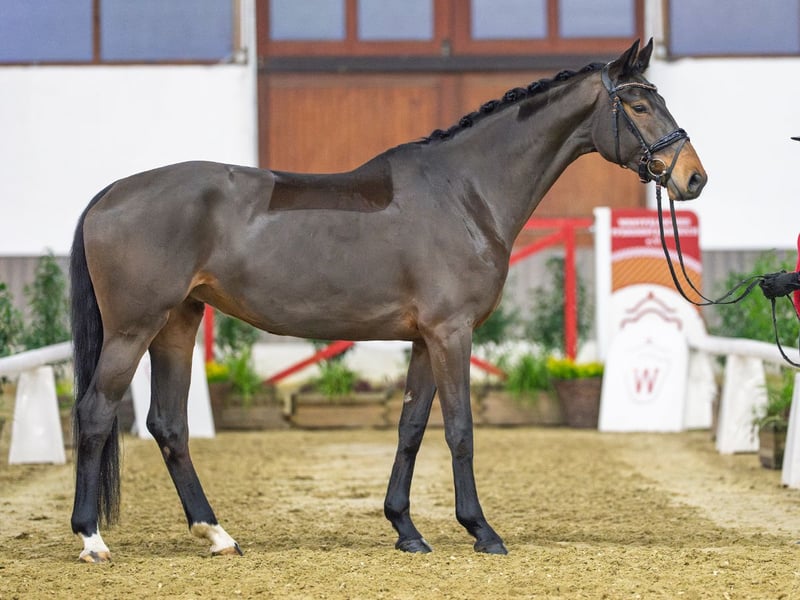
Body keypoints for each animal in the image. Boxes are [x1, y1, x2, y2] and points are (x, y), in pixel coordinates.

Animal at [69, 39, 706, 562]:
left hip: (177, 324)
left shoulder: (426, 340)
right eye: (640, 106)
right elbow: (460, 429)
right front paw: (482, 531)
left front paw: (406, 529)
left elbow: (411, 428)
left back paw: (216, 534)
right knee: (96, 412)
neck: (465, 192)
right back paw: (92, 539)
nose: (694, 179)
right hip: (133, 329)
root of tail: (109, 193)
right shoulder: (452, 333)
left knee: (169, 424)